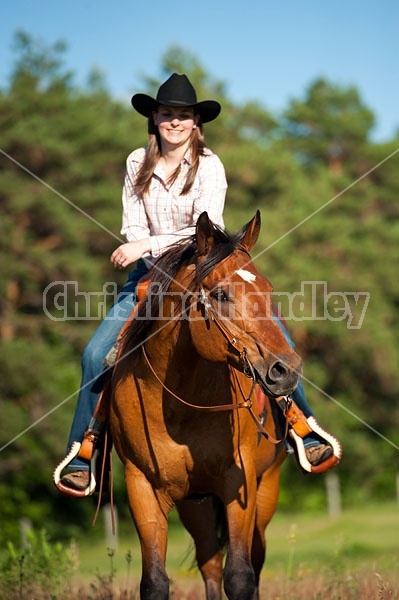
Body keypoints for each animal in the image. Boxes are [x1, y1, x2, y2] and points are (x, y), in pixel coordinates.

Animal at [109, 212, 304, 600]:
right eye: (221, 294)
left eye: (267, 288)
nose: (286, 369)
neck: (178, 404)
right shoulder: (141, 485)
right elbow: (155, 581)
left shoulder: (238, 479)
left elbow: (241, 577)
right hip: (192, 503)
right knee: (210, 562)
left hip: (266, 489)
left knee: (254, 560)